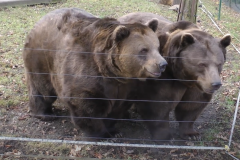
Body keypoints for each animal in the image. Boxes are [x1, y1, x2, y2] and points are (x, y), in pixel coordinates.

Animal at [23, 8, 167, 139]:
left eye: (157, 47)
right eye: (144, 50)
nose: (162, 64)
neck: (112, 72)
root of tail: (40, 21)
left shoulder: (125, 86)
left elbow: (118, 106)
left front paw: (114, 130)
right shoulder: (87, 74)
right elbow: (87, 106)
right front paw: (103, 133)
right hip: (41, 57)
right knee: (43, 89)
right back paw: (45, 114)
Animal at [117, 12, 231, 140]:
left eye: (219, 64)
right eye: (202, 64)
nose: (216, 84)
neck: (183, 77)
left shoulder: (197, 84)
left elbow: (192, 105)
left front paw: (191, 134)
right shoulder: (164, 77)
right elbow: (158, 104)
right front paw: (164, 135)